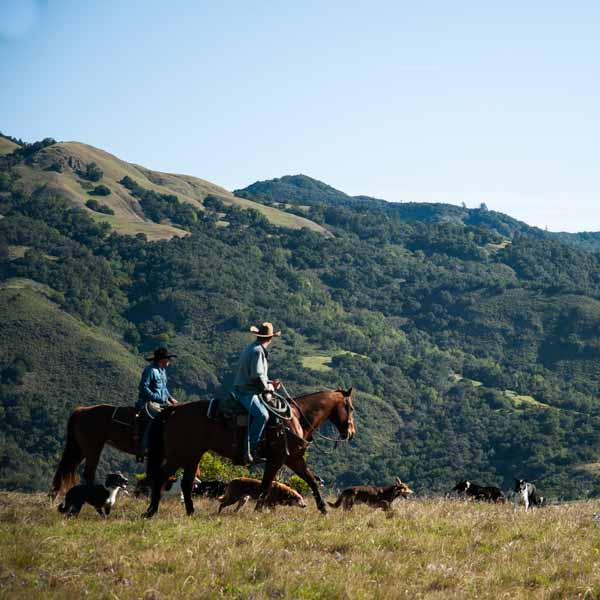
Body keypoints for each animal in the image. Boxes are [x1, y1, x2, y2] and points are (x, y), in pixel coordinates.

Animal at [143, 390, 354, 516]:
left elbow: (311, 481)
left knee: (186, 483)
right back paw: (152, 511)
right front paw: (259, 510)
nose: (351, 433)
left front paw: (324, 509)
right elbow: (266, 485)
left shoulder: (294, 459)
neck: (293, 418)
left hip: (193, 456)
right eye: (350, 407)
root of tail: (175, 409)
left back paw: (190, 512)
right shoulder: (278, 459)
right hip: (179, 454)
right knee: (161, 477)